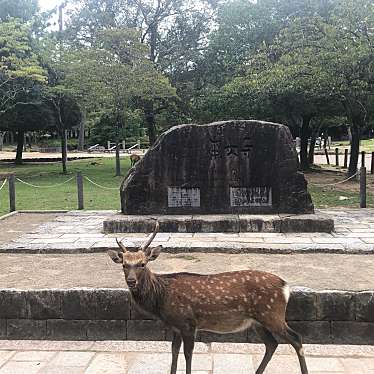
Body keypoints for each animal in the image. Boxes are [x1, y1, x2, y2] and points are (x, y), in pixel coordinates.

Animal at [106, 222, 308, 374]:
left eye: (142, 263)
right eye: (124, 264)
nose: (131, 281)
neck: (162, 298)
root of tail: (286, 287)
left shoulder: (188, 323)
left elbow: (188, 354)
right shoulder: (176, 326)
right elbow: (173, 352)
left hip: (272, 314)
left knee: (296, 338)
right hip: (258, 321)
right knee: (272, 344)